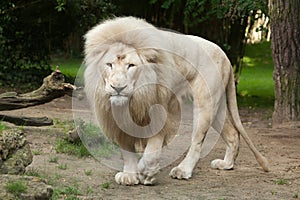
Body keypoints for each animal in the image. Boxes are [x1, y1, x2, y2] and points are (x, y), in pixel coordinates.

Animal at [82, 16, 270, 186]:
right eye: (109, 65)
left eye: (131, 66)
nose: (117, 87)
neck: (135, 98)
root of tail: (225, 57)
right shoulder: (116, 119)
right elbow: (127, 150)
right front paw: (129, 175)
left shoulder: (161, 109)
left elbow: (152, 148)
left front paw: (147, 172)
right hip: (218, 107)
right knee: (232, 133)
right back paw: (226, 164)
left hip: (205, 102)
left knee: (197, 142)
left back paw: (183, 170)